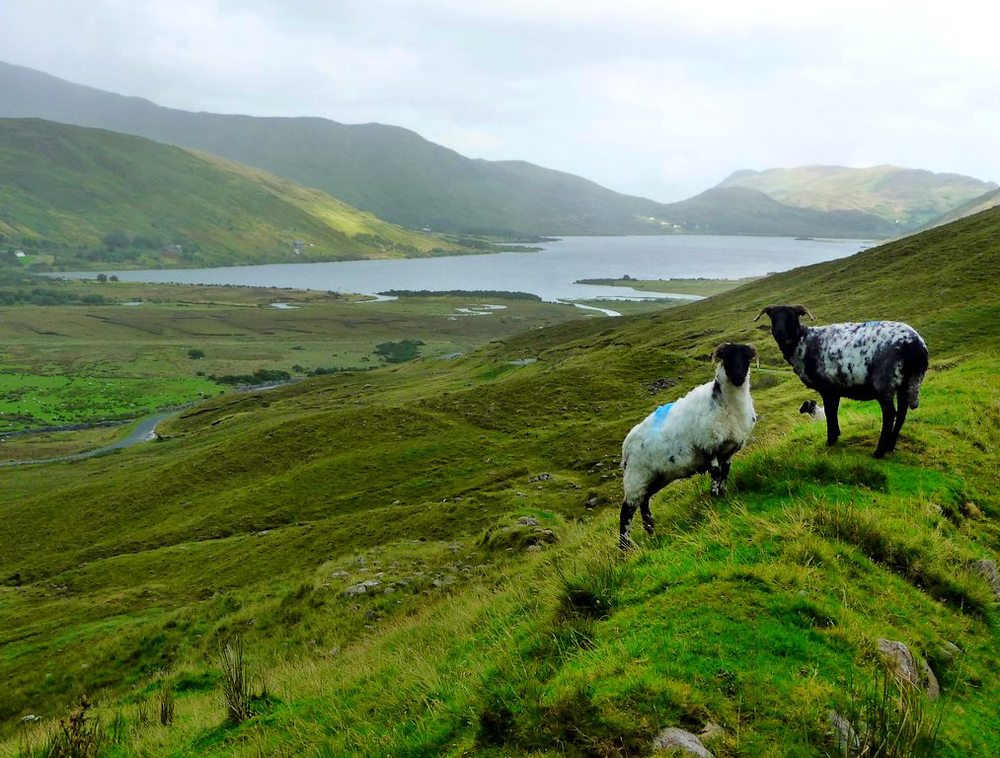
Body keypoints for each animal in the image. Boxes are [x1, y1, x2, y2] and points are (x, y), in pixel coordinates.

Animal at [616, 346, 756, 552]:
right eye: (727, 358)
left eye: (746, 358)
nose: (738, 377)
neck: (728, 403)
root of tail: (626, 445)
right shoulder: (709, 445)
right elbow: (716, 474)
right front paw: (715, 498)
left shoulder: (728, 450)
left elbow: (725, 473)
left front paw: (723, 494)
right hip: (636, 475)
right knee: (626, 511)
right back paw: (625, 547)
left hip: (654, 477)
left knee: (644, 502)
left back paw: (651, 531)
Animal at [756, 306, 928, 460]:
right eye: (773, 317)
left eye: (792, 316)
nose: (780, 333)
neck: (803, 342)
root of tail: (916, 345)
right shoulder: (834, 389)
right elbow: (833, 411)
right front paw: (836, 435)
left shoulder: (827, 388)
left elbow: (830, 412)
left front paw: (830, 440)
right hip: (904, 383)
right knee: (902, 414)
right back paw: (890, 446)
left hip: (885, 382)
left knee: (890, 414)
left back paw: (879, 452)